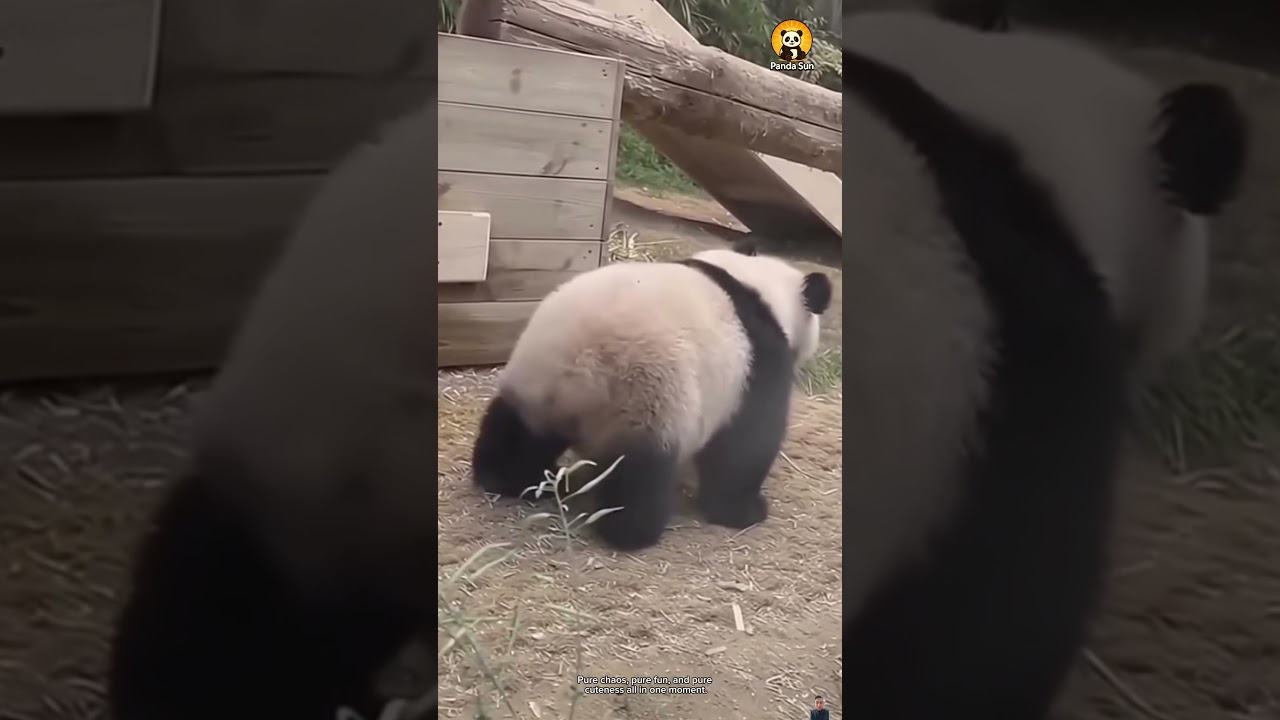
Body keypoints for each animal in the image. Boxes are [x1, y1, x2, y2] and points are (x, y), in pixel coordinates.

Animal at [469, 241, 833, 551]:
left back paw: (507, 478)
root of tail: (578, 372)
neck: (758, 284)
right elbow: (745, 446)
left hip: (533, 383)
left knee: (515, 432)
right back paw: (632, 531)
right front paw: (745, 510)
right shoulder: (756, 364)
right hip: (650, 400)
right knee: (640, 476)